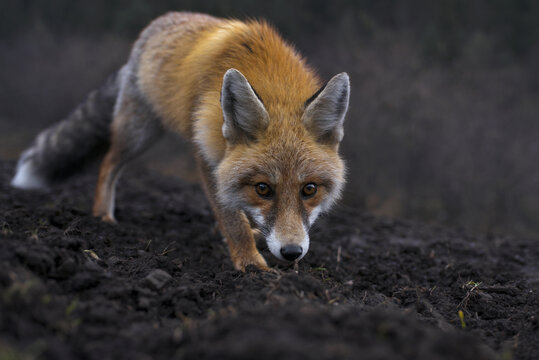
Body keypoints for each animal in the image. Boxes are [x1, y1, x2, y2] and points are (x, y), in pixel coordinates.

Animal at [12, 11, 352, 270]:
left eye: (309, 189)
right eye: (263, 189)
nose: (292, 253)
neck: (272, 79)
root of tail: (153, 28)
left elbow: (232, 212)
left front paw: (247, 239)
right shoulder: (206, 155)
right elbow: (231, 220)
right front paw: (251, 266)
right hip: (139, 132)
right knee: (107, 164)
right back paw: (102, 217)